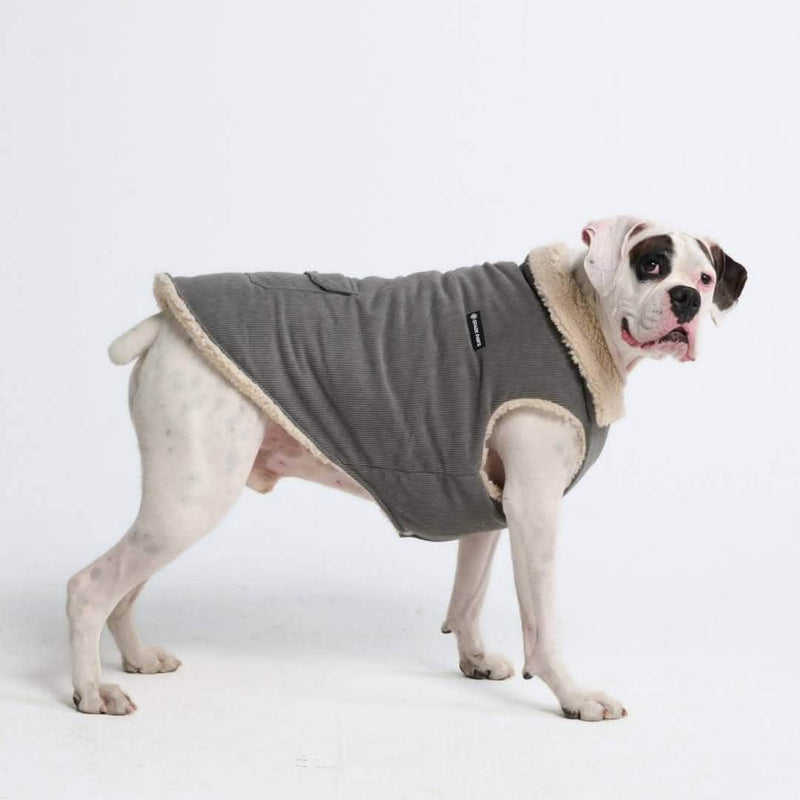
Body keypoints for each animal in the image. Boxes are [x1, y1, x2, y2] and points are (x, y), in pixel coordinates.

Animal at [67, 216, 747, 720]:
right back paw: (92, 692)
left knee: (124, 587)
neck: (577, 320)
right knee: (92, 586)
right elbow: (541, 621)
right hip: (193, 498)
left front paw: (474, 661)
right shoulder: (535, 508)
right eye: (650, 264)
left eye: (705, 277)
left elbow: (468, 595)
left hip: (177, 497)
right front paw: (574, 697)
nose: (687, 299)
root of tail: (162, 323)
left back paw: (136, 658)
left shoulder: (492, 505)